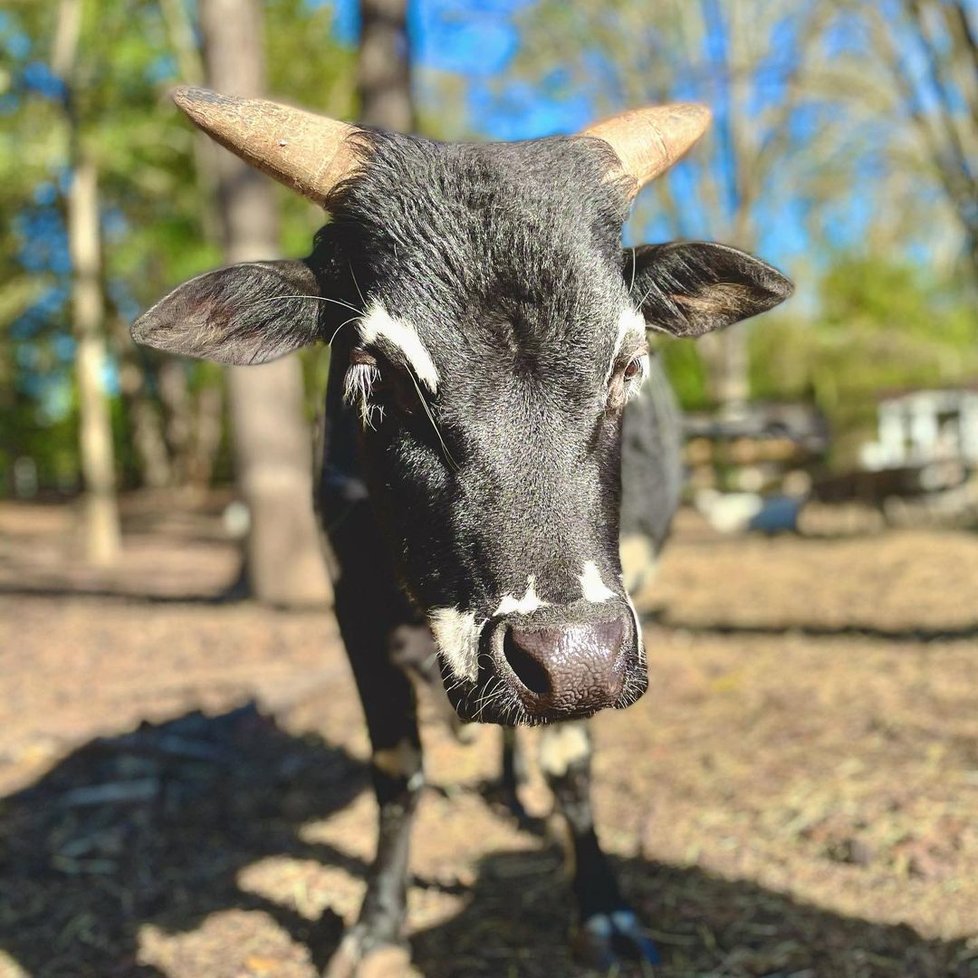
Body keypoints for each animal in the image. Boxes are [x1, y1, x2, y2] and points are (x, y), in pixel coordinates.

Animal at [133, 87, 788, 972]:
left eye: (627, 362)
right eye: (379, 371)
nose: (571, 660)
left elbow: (571, 763)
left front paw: (604, 911)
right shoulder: (352, 608)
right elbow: (395, 767)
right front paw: (376, 923)